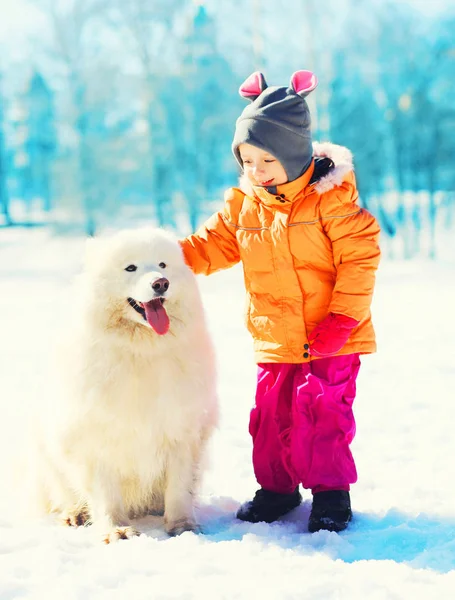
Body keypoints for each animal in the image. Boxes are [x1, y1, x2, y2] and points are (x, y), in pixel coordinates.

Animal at [30, 226, 219, 544]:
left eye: (163, 264)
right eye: (131, 268)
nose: (161, 283)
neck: (142, 349)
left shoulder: (181, 429)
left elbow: (179, 486)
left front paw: (182, 526)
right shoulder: (96, 435)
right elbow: (105, 493)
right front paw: (116, 530)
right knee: (65, 493)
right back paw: (76, 514)